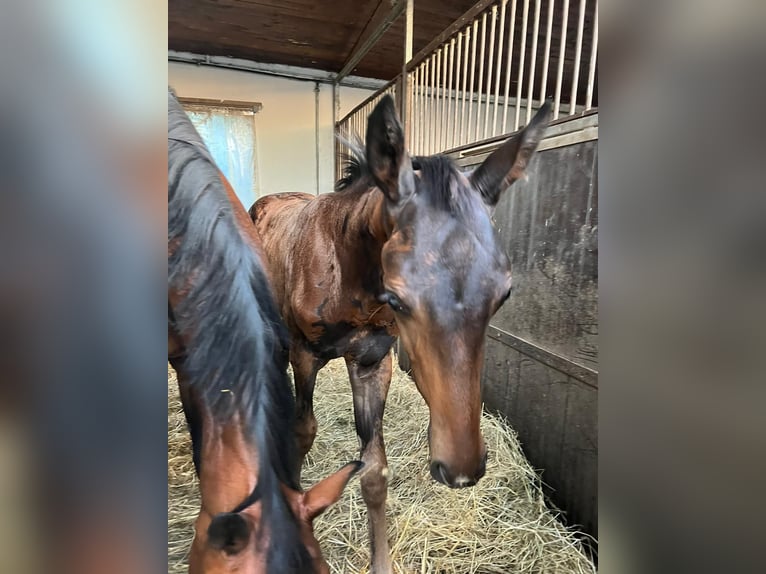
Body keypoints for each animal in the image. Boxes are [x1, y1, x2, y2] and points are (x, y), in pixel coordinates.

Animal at [252, 97, 552, 572]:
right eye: (396, 295)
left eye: (504, 293)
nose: (461, 468)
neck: (346, 277)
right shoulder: (305, 353)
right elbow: (303, 431)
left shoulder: (373, 362)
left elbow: (374, 472)